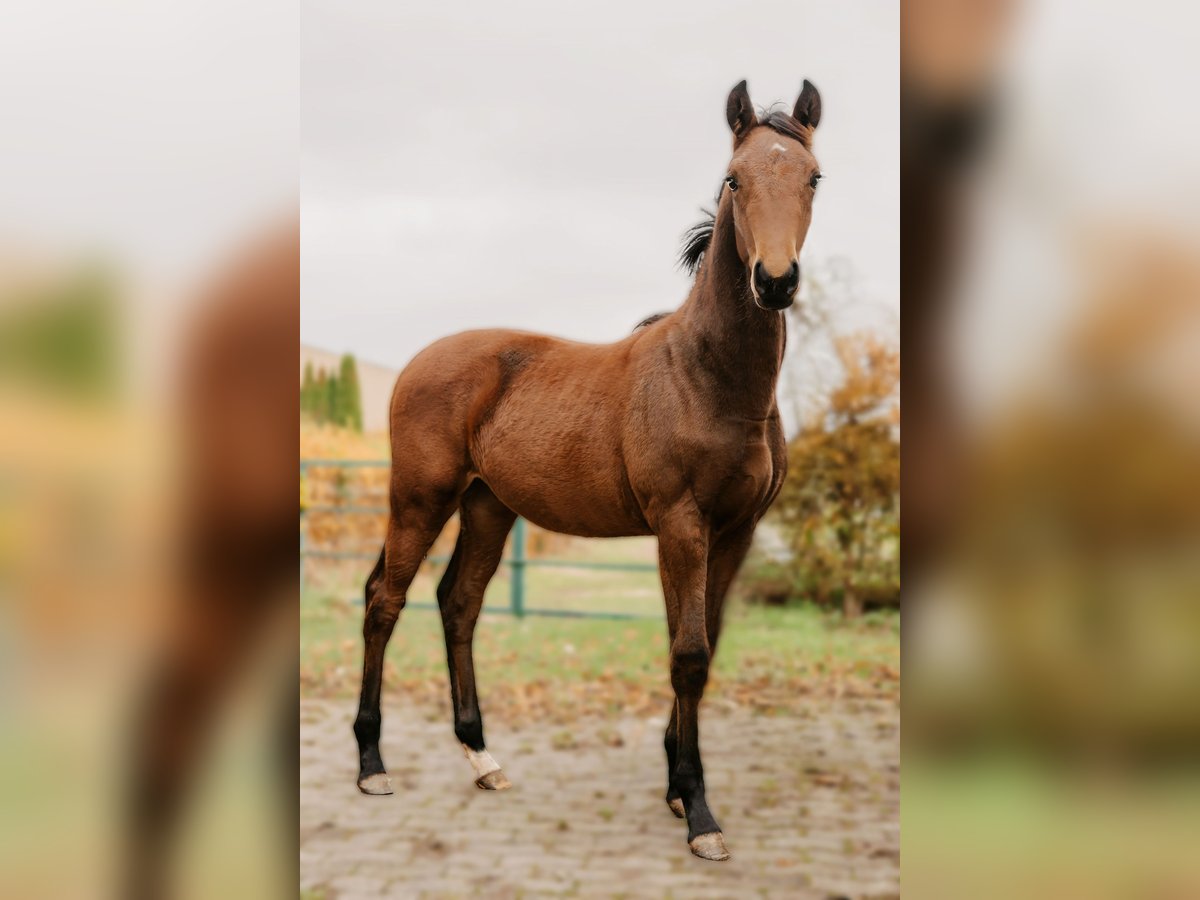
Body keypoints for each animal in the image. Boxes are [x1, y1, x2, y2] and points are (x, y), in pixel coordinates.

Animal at [355, 81, 820, 864]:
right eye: (734, 179)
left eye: (813, 177)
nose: (775, 281)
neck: (710, 379)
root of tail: (419, 360)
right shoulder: (680, 525)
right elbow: (688, 653)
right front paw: (700, 814)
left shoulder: (736, 533)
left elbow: (703, 644)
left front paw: (675, 787)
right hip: (421, 498)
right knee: (385, 600)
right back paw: (371, 764)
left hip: (488, 506)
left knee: (458, 601)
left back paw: (483, 758)